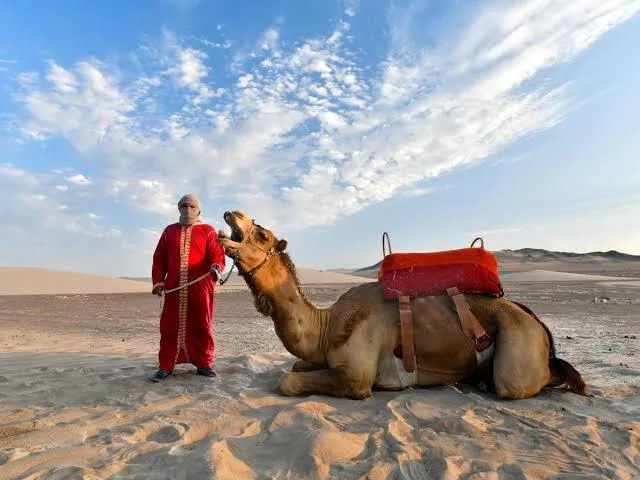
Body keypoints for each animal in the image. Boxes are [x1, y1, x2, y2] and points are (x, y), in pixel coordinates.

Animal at [218, 210, 588, 402]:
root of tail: (534, 319)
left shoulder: (356, 375)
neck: (326, 325)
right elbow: (296, 365)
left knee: (527, 380)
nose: (232, 213)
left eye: (262, 235)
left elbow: (288, 380)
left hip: (517, 348)